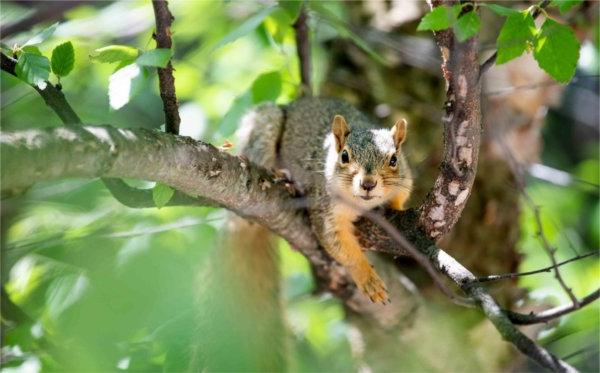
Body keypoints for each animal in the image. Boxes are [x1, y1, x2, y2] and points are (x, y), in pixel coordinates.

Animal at [195, 96, 410, 370]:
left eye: (394, 159)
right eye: (344, 156)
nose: (368, 184)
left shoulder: (406, 181)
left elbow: (400, 199)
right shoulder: (325, 207)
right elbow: (336, 243)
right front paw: (368, 279)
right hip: (264, 128)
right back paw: (283, 178)